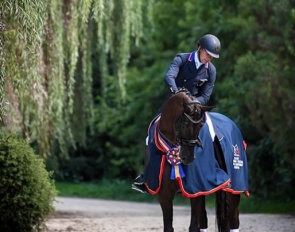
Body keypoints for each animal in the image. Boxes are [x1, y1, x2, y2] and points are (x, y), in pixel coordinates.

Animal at [143, 88, 250, 231]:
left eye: (200, 125)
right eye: (184, 123)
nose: (188, 157)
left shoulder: (196, 189)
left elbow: (193, 226)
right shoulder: (165, 194)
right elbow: (169, 227)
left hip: (234, 188)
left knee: (233, 219)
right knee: (205, 219)